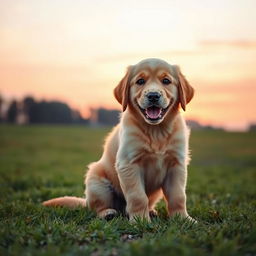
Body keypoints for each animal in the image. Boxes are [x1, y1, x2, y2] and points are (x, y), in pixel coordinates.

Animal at [42, 58, 194, 222]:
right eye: (140, 81)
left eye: (166, 81)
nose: (153, 95)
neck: (156, 131)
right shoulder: (128, 164)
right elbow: (138, 196)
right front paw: (141, 221)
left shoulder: (177, 164)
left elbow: (178, 196)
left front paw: (183, 218)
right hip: (97, 183)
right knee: (97, 207)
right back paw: (108, 213)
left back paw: (151, 211)